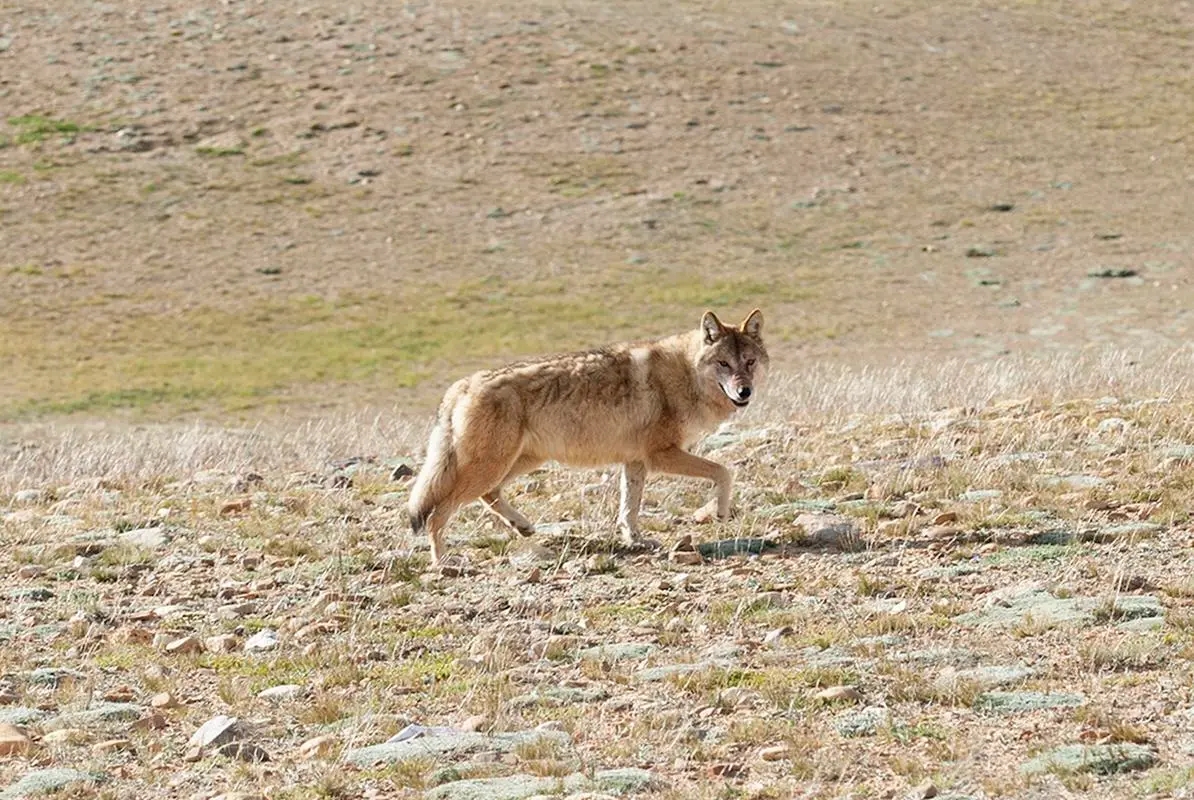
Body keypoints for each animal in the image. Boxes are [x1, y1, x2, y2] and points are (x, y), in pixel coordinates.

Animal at [405, 308, 768, 563]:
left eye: (749, 362)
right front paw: (720, 512)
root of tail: (461, 385)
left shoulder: (636, 461)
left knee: (489, 495)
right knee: (439, 513)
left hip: (518, 462)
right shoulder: (661, 455)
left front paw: (636, 541)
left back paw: (522, 526)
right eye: (723, 363)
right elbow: (724, 471)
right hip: (491, 466)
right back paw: (444, 561)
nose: (744, 391)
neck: (685, 375)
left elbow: (629, 509)